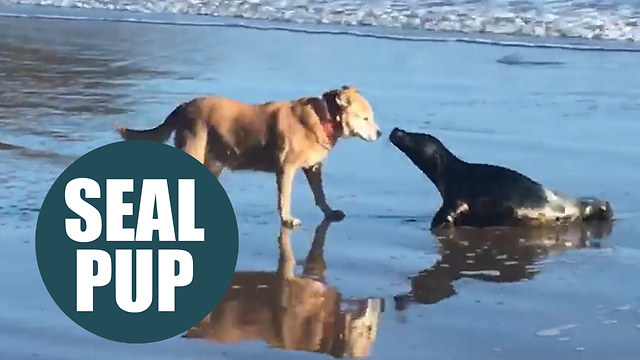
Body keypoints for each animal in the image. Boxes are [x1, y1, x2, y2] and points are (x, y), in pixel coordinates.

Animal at [116, 86, 380, 228]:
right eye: (365, 118)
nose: (379, 133)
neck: (323, 118)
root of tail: (183, 106)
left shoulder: (313, 168)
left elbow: (320, 194)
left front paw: (329, 211)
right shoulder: (286, 168)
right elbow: (285, 198)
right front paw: (287, 219)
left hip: (213, 160)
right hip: (194, 149)